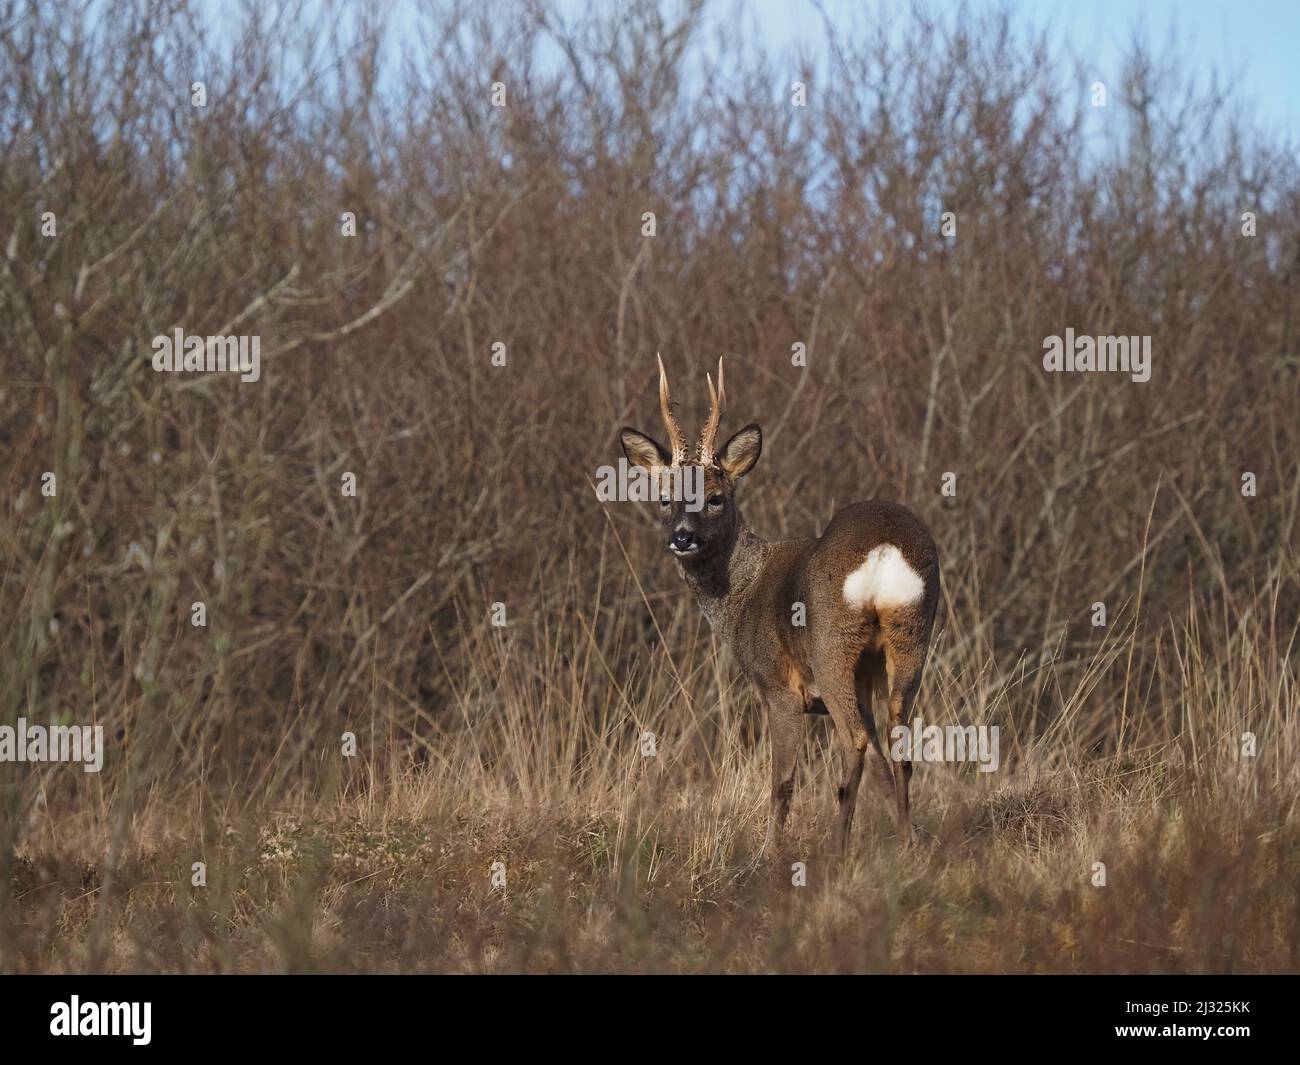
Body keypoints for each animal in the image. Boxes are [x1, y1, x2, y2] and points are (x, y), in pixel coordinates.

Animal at [624, 358, 941, 858]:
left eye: (715, 498)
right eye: (664, 498)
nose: (682, 536)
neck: (743, 594)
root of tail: (884, 551)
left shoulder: (779, 686)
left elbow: (782, 783)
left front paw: (769, 853)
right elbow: (881, 770)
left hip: (831, 650)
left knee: (855, 744)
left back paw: (837, 848)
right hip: (912, 635)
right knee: (896, 745)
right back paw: (903, 842)